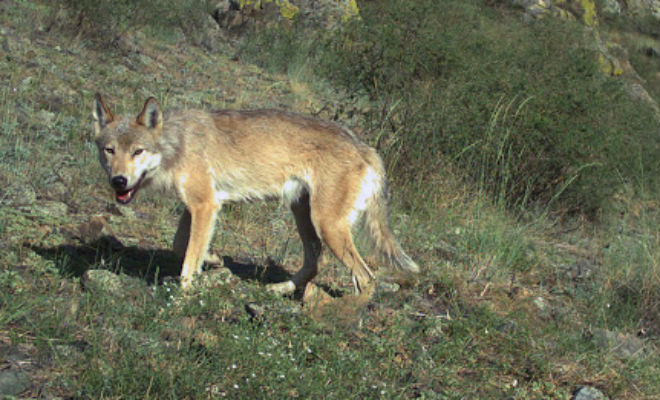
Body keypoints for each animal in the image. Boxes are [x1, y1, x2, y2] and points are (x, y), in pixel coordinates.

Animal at [92, 94, 418, 294]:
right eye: (109, 151)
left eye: (137, 151)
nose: (118, 181)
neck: (177, 144)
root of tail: (365, 147)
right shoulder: (199, 207)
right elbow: (181, 245)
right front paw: (213, 259)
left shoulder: (205, 206)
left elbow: (187, 261)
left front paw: (183, 295)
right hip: (305, 217)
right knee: (317, 263)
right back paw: (281, 290)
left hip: (328, 226)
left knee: (366, 278)